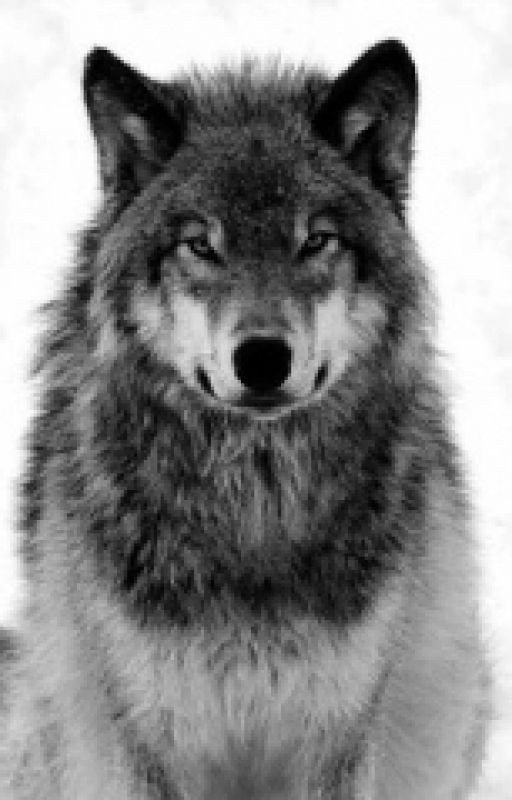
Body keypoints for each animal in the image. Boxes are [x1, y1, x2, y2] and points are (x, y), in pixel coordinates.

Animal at [0, 39, 489, 799]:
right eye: (202, 244)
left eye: (316, 240)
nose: (262, 357)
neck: (254, 509)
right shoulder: (144, 736)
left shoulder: (339, 734)